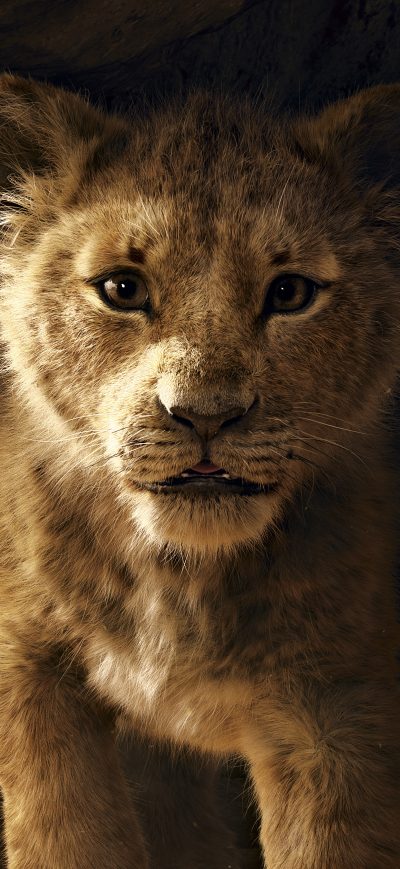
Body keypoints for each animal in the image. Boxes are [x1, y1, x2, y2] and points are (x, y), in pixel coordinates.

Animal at [0, 73, 398, 868]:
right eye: (122, 289)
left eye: (289, 293)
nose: (206, 416)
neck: (180, 578)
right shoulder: (29, 667)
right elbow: (61, 832)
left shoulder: (339, 708)